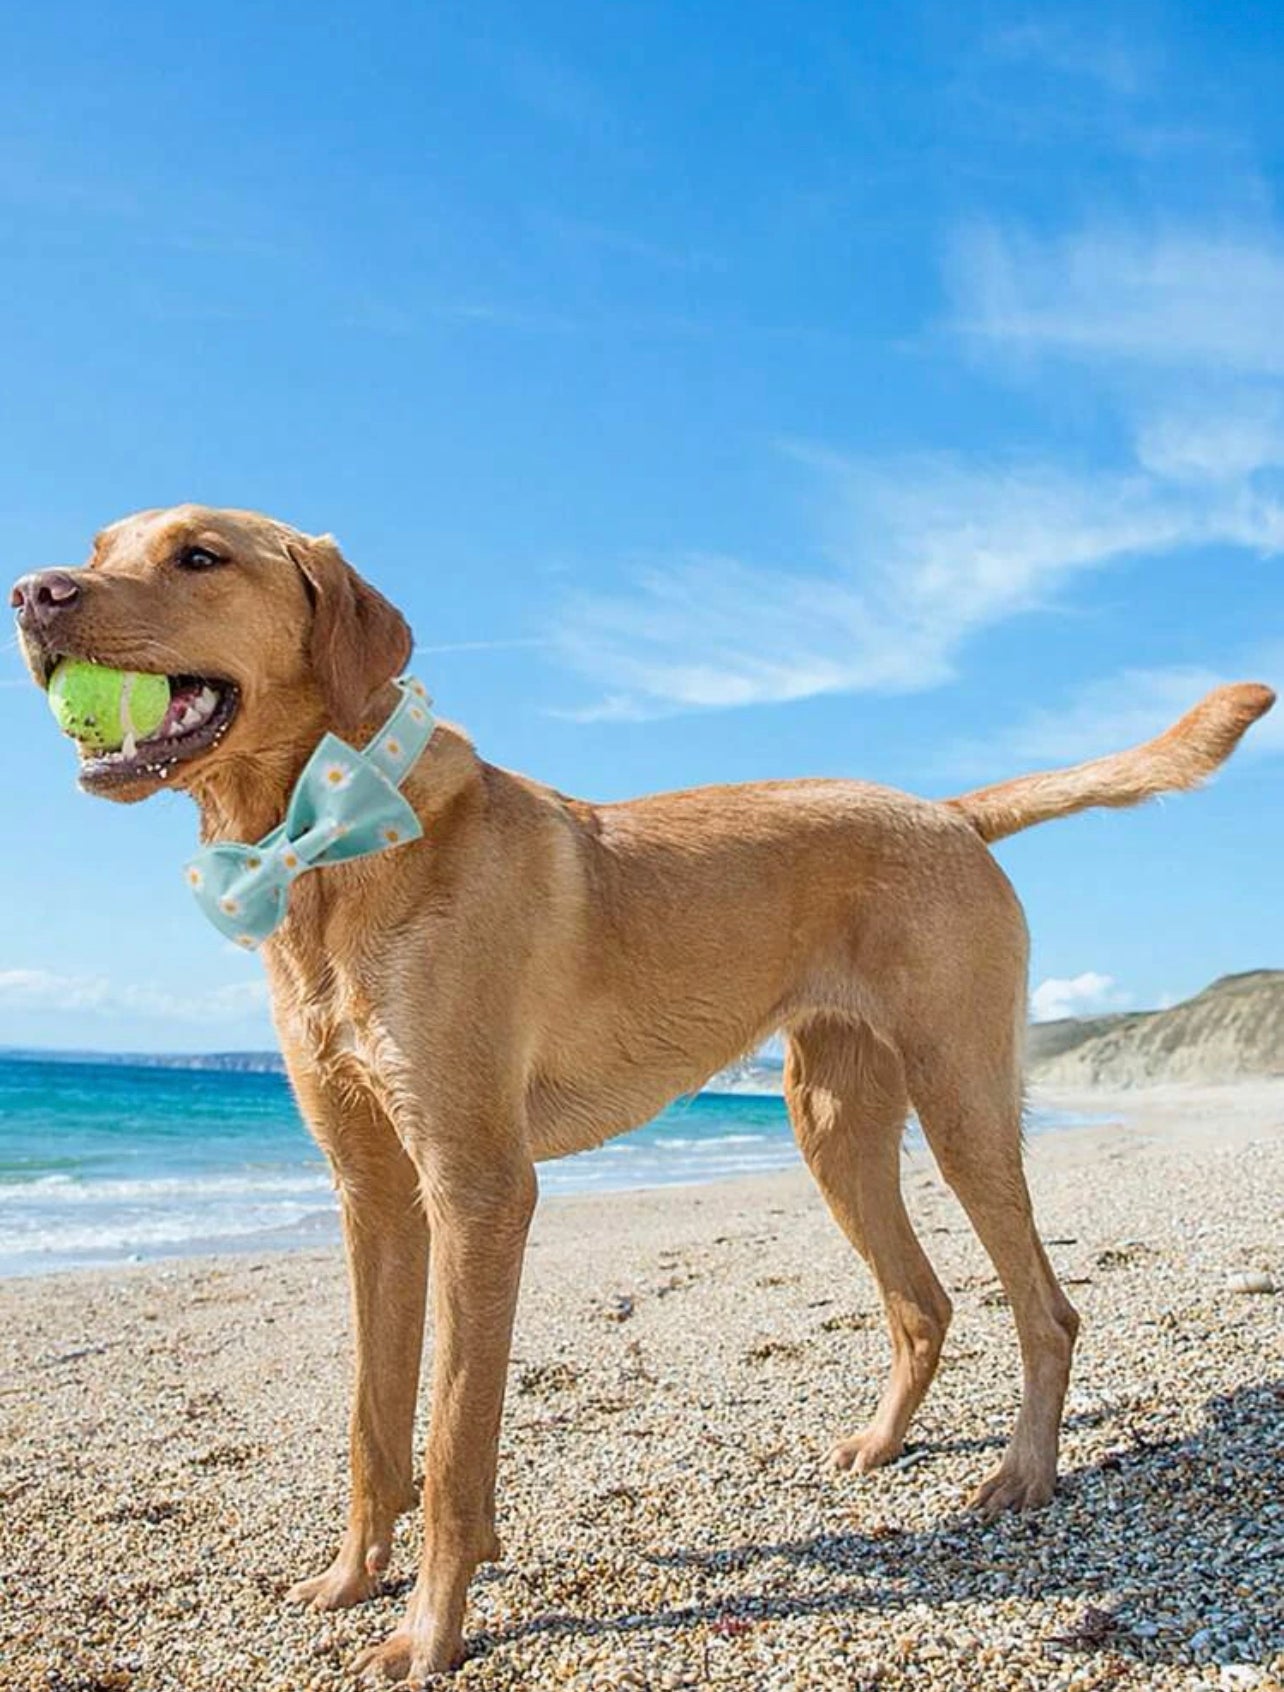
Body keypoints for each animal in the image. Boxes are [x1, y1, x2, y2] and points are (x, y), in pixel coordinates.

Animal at [10, 504, 1278, 1678]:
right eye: (102, 544)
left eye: (200, 556)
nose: (31, 592)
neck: (335, 840)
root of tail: (950, 810)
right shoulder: (372, 1196)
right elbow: (374, 1426)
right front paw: (350, 1578)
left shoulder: (479, 1190)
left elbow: (453, 1443)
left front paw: (430, 1631)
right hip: (832, 1126)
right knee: (922, 1305)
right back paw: (880, 1446)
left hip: (961, 1104)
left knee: (1046, 1311)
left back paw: (1023, 1475)